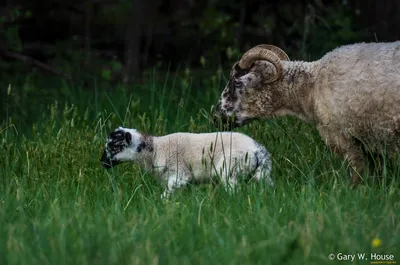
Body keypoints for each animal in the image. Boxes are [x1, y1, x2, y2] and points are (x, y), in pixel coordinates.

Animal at [101, 126, 274, 198]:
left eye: (113, 146)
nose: (102, 163)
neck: (155, 149)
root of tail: (257, 150)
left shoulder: (179, 175)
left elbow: (166, 194)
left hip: (231, 170)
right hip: (263, 173)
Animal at [214, 42, 400, 184]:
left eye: (237, 83)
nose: (216, 116)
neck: (311, 86)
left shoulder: (343, 137)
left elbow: (357, 173)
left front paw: (357, 193)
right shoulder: (368, 140)